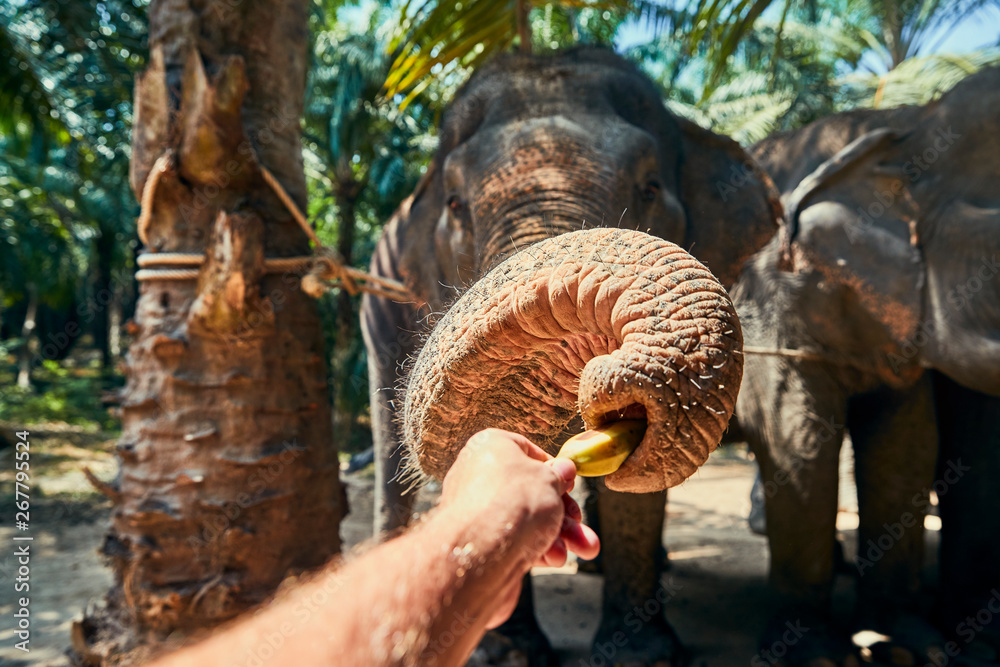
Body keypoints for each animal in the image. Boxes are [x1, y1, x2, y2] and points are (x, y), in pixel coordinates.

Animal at [736, 65, 1000, 664]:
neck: (906, 123)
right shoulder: (766, 293)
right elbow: (797, 440)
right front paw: (815, 652)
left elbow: (907, 444)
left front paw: (907, 643)